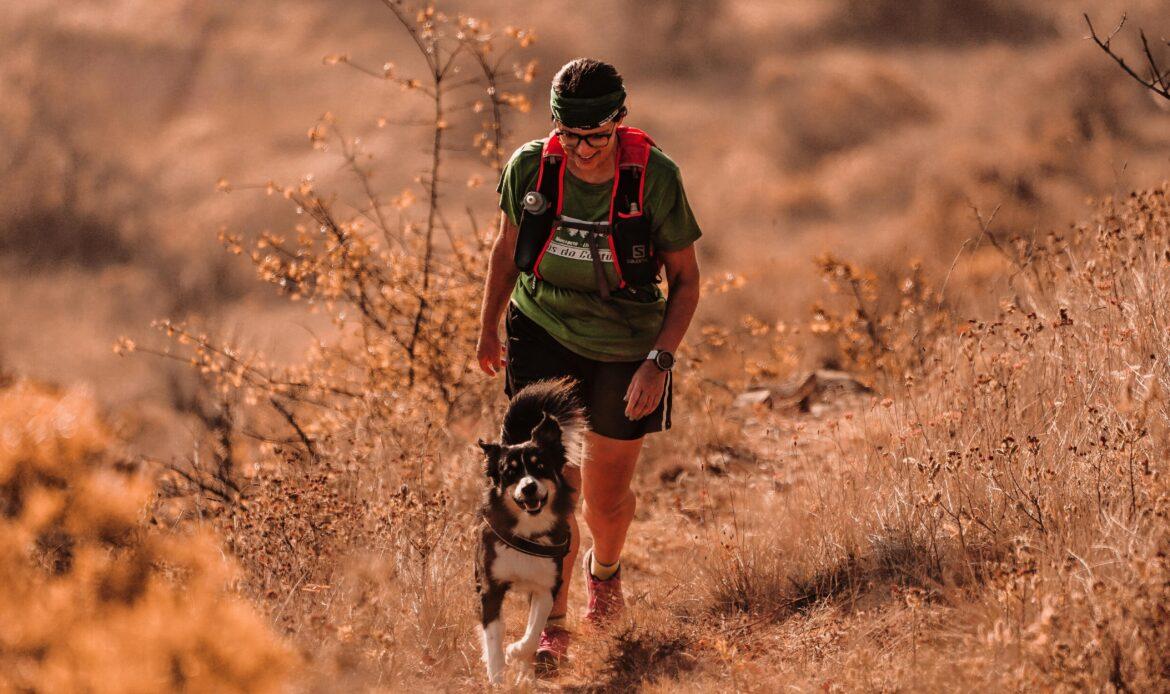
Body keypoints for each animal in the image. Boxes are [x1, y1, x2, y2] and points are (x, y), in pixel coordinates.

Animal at [475, 376, 585, 678]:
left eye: (541, 467)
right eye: (510, 472)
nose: (529, 487)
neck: (527, 530)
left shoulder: (547, 586)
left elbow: (534, 631)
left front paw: (517, 653)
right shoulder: (491, 587)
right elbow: (493, 634)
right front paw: (496, 674)